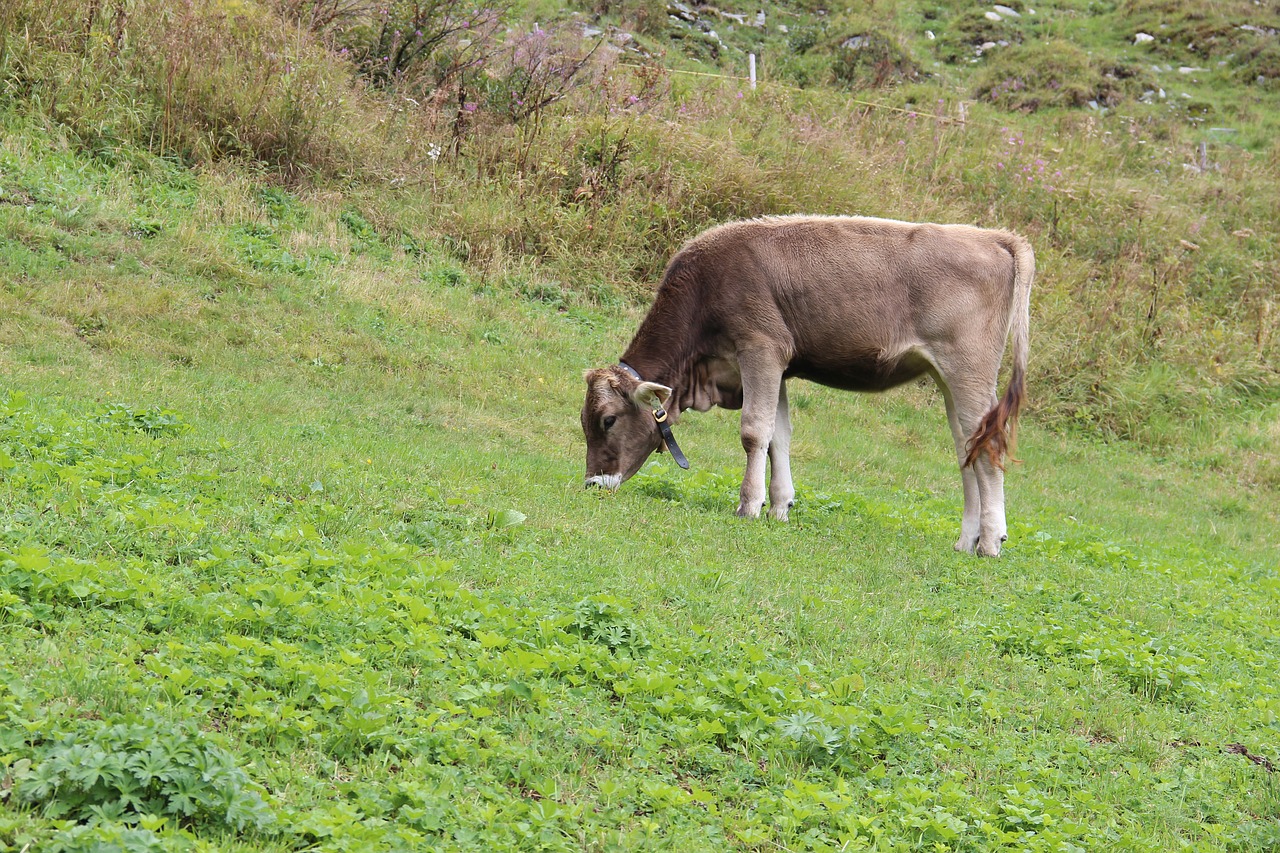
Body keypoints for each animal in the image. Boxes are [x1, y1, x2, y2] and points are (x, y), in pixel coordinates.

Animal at [581, 216, 1029, 555]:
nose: (591, 484)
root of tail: (993, 237)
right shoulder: (777, 366)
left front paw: (748, 506)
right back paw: (966, 540)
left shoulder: (760, 348)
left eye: (608, 420)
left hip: (968, 372)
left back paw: (990, 542)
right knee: (968, 449)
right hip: (949, 378)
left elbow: (754, 431)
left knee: (988, 447)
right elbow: (778, 436)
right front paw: (779, 507)